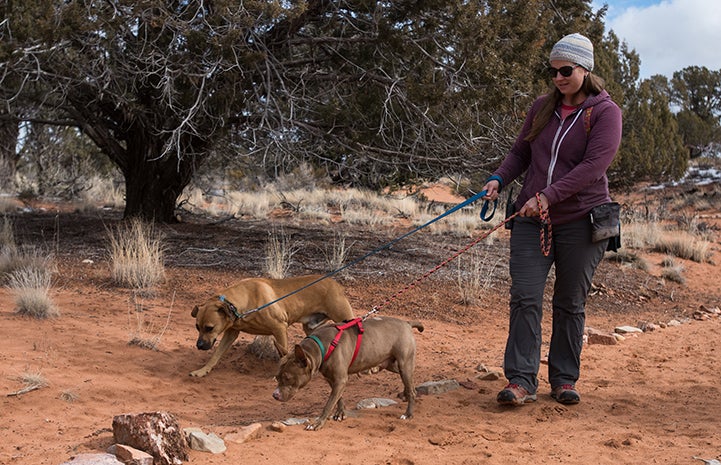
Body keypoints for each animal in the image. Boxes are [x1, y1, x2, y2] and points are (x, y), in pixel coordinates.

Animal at [188, 276, 352, 376]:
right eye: (197, 327)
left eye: (209, 328)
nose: (199, 345)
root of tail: (336, 284)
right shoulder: (231, 332)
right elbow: (216, 354)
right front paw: (203, 370)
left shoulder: (279, 328)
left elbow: (283, 355)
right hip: (311, 328)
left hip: (345, 318)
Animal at [272, 314, 424, 430]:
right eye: (277, 377)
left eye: (287, 377)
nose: (275, 395)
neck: (320, 347)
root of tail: (407, 323)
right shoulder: (332, 380)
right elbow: (338, 398)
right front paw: (340, 414)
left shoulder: (340, 380)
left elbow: (328, 404)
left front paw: (318, 423)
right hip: (392, 365)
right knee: (409, 383)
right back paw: (405, 394)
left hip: (404, 363)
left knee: (412, 389)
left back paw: (408, 413)